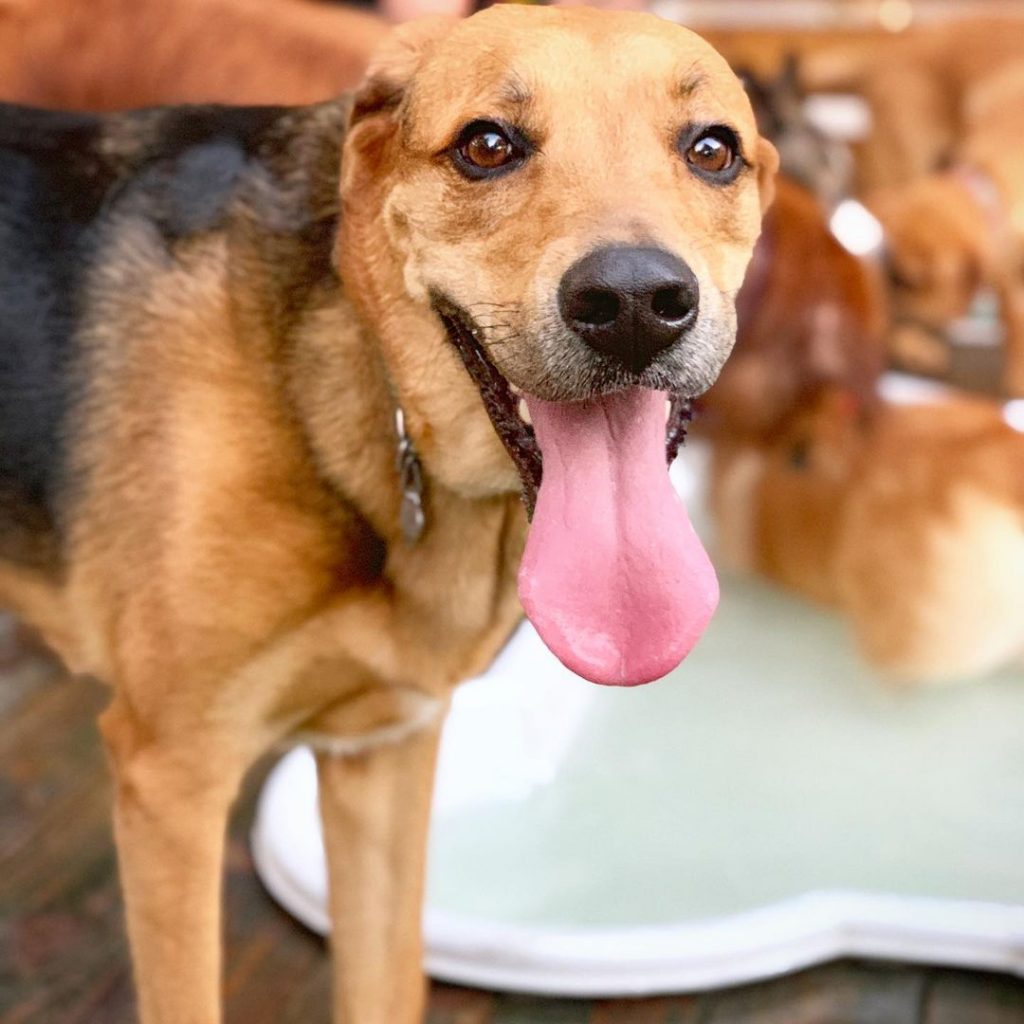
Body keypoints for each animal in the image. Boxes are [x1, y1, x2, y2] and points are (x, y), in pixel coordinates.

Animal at [0, 9, 774, 1024]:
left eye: (712, 151)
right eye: (487, 145)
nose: (637, 305)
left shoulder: (382, 752)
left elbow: (384, 976)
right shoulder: (172, 779)